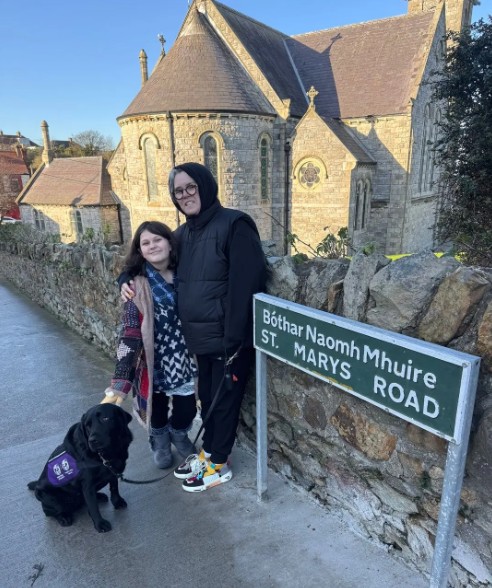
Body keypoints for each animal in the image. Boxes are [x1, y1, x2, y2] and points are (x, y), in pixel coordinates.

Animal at [28, 403, 133, 533]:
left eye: (105, 418)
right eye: (88, 426)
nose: (92, 440)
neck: (105, 455)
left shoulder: (112, 471)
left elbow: (114, 487)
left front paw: (117, 501)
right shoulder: (87, 485)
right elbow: (93, 506)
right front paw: (100, 524)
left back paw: (99, 496)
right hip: (51, 498)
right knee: (51, 512)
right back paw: (63, 517)